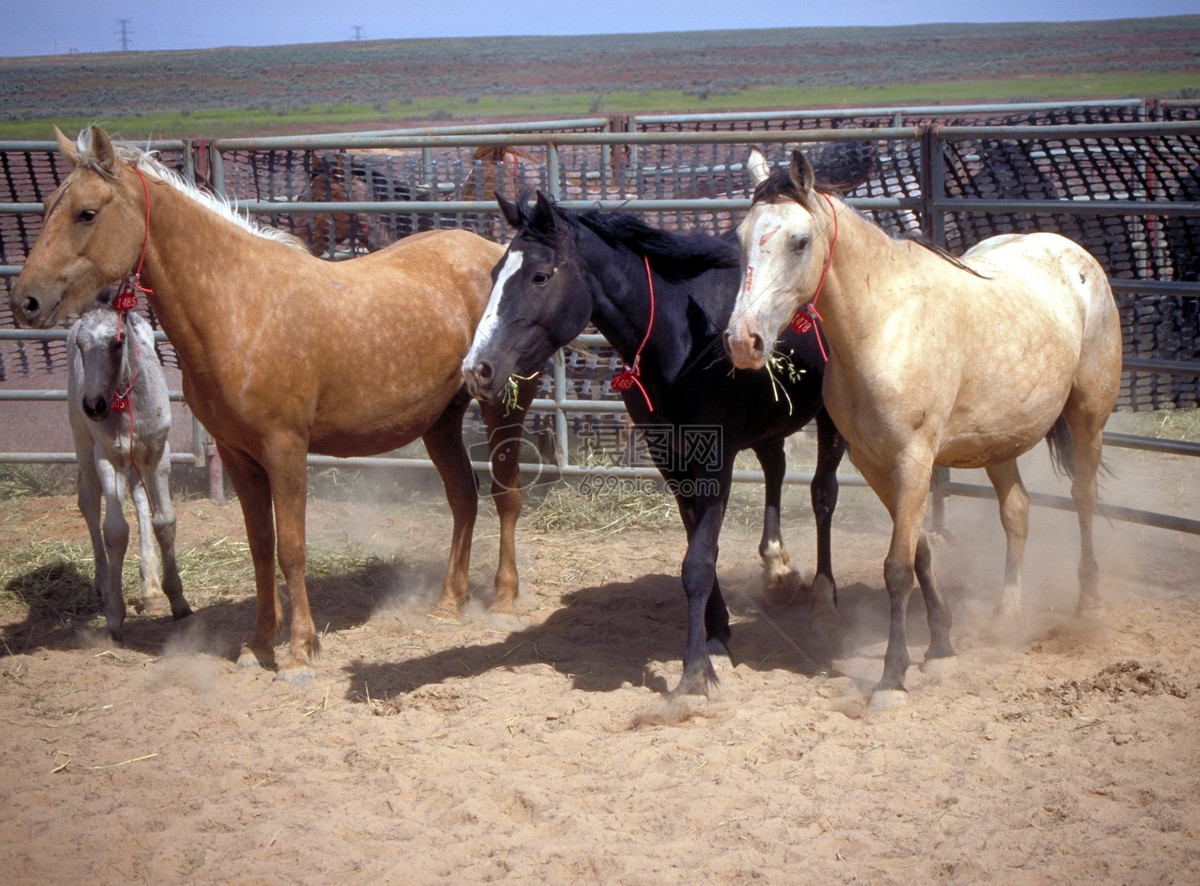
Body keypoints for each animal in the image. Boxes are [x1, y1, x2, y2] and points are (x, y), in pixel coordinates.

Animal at [68, 300, 192, 638]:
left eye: (117, 342)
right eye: (81, 345)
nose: (94, 405)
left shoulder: (159, 453)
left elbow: (164, 521)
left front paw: (177, 601)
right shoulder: (107, 457)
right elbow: (115, 531)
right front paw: (115, 614)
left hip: (137, 459)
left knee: (138, 496)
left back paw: (150, 589)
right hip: (83, 441)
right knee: (88, 500)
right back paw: (102, 581)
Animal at [458, 193, 844, 696]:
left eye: (540, 275)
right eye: (493, 273)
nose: (477, 369)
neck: (682, 338)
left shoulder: (714, 460)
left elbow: (698, 562)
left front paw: (696, 671)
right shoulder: (671, 458)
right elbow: (697, 546)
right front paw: (717, 634)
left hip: (833, 420)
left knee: (823, 495)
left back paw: (825, 600)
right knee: (776, 467)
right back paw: (776, 569)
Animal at [720, 148, 1123, 705]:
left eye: (799, 241)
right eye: (740, 237)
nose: (744, 341)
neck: (884, 324)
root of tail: (1075, 254)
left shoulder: (913, 459)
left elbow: (896, 568)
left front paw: (892, 677)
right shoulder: (876, 463)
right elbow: (920, 554)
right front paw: (941, 645)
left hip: (1088, 416)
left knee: (1084, 498)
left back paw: (1089, 605)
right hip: (998, 443)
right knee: (1017, 513)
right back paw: (1006, 616)